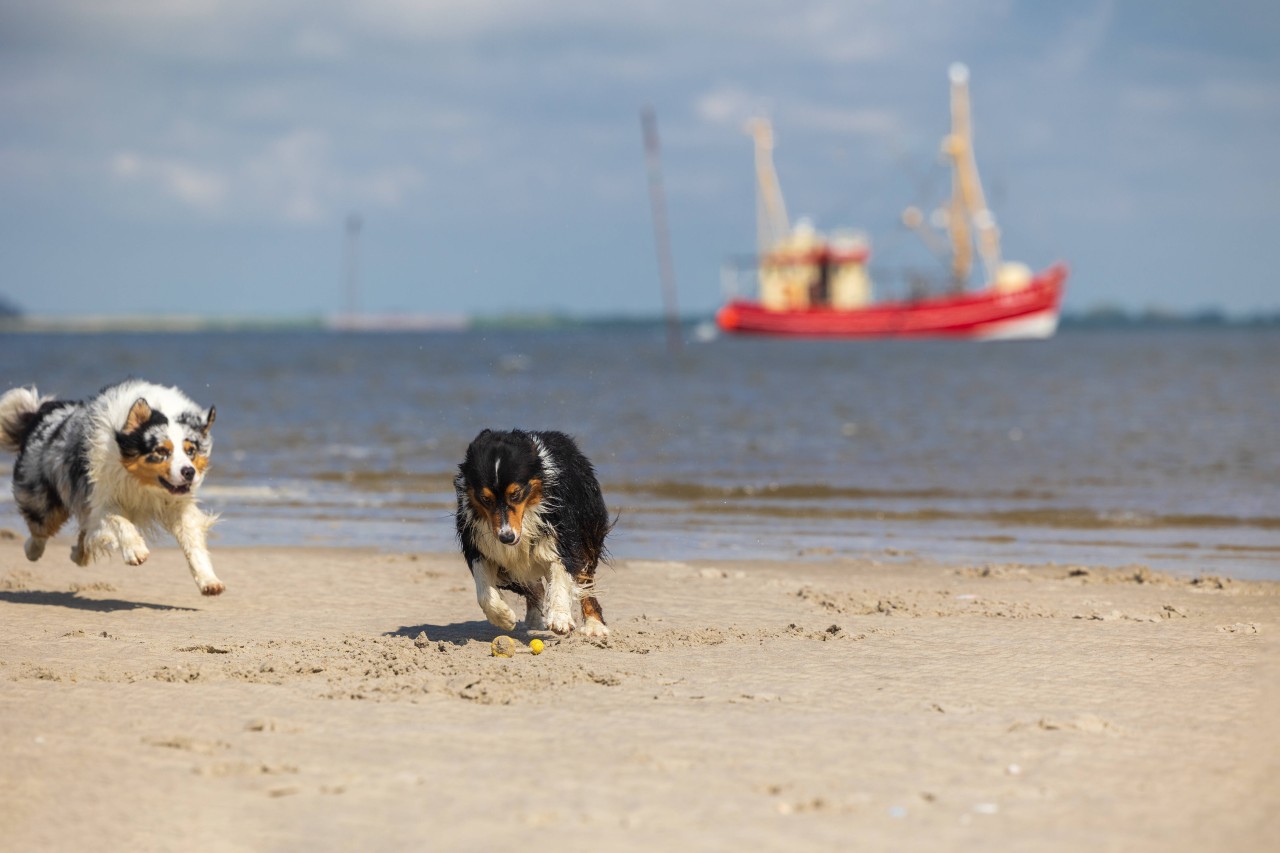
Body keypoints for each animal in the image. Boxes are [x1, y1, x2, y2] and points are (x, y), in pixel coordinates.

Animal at [0, 376, 222, 591]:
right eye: (161, 451)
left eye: (191, 451)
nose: (189, 472)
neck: (143, 484)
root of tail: (40, 415)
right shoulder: (102, 495)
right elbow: (119, 520)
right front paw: (136, 550)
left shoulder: (176, 504)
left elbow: (192, 541)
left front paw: (209, 580)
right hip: (41, 496)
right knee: (41, 527)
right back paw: (32, 551)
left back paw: (79, 554)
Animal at [455, 427, 614, 635]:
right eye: (485, 499)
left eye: (515, 494)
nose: (506, 537)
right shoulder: (476, 541)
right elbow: (483, 591)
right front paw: (503, 617)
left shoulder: (563, 536)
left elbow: (561, 575)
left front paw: (560, 618)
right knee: (534, 586)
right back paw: (532, 619)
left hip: (588, 534)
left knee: (585, 583)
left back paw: (594, 626)